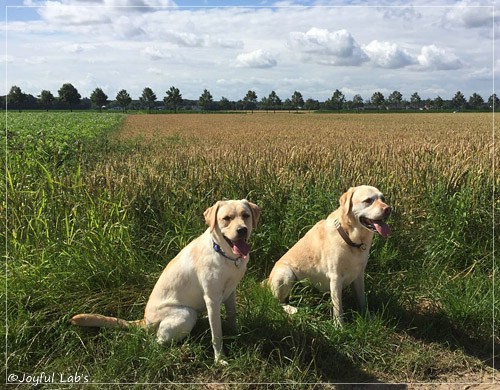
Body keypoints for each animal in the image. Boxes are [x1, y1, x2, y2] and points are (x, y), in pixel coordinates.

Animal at [71, 200, 262, 364]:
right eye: (226, 218)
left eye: (245, 215)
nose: (242, 230)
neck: (224, 254)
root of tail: (144, 321)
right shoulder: (212, 299)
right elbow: (217, 334)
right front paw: (219, 359)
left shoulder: (230, 293)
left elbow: (232, 317)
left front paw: (236, 335)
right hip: (186, 314)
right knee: (155, 343)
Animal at [266, 186, 390, 322]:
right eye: (368, 200)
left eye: (383, 199)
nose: (388, 209)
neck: (351, 238)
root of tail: (266, 281)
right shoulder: (335, 277)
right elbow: (338, 307)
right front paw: (339, 325)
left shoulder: (359, 274)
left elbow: (362, 300)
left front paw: (367, 316)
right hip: (286, 274)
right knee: (278, 302)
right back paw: (291, 309)